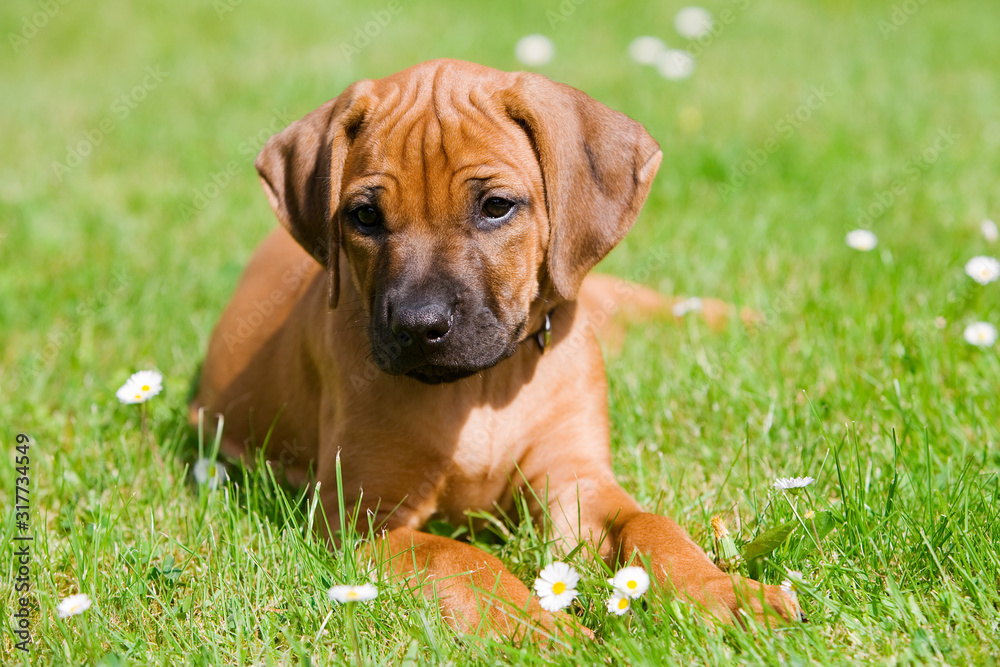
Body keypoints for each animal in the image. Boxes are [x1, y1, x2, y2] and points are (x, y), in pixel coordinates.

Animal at [193, 60, 796, 640]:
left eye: (496, 206)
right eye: (364, 216)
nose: (418, 326)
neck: (480, 387)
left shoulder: (576, 481)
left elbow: (652, 524)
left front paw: (724, 594)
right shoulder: (362, 517)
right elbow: (458, 558)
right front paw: (543, 627)